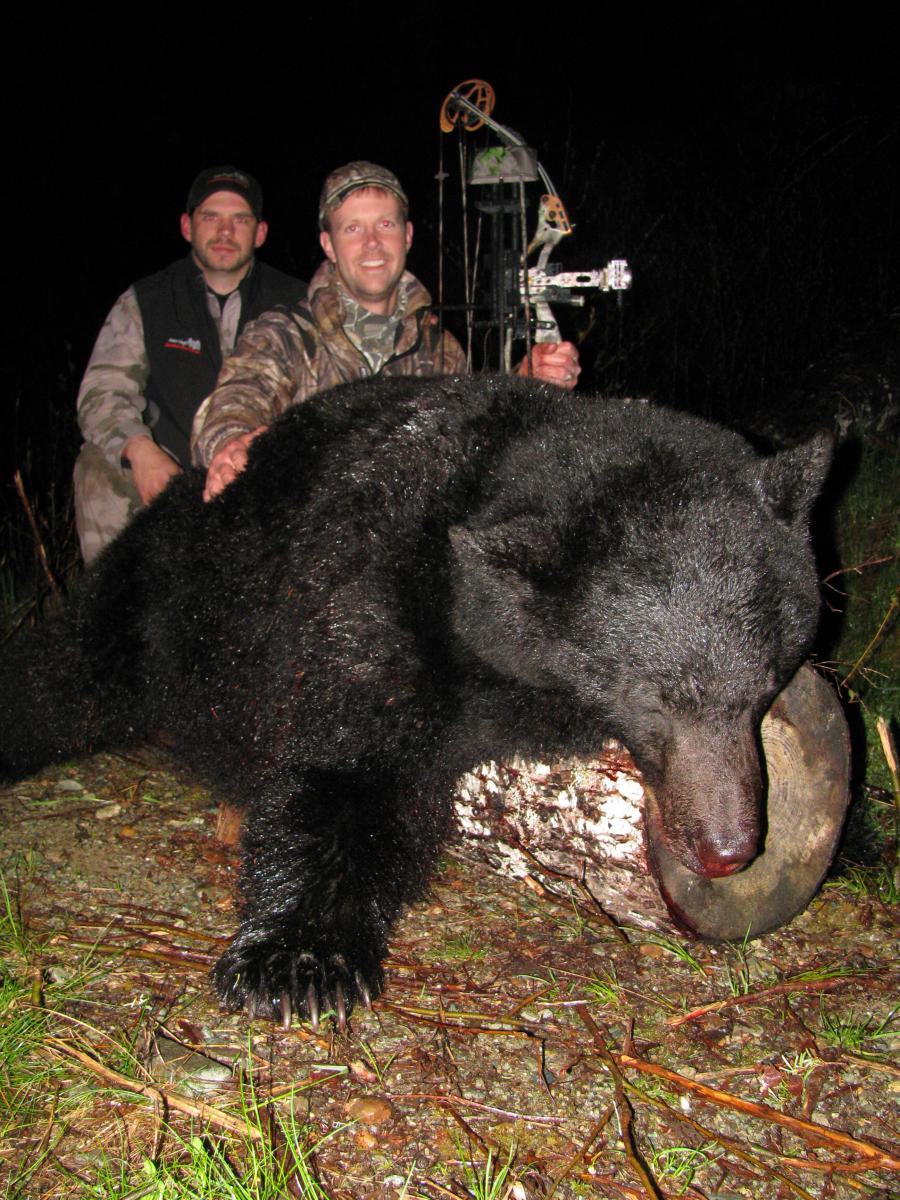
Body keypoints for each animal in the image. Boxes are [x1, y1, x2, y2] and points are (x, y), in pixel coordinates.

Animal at [0, 375, 831, 1030]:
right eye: (659, 698)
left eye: (765, 684)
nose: (729, 848)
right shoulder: (370, 594)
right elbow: (342, 772)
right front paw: (298, 962)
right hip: (158, 595)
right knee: (69, 671)